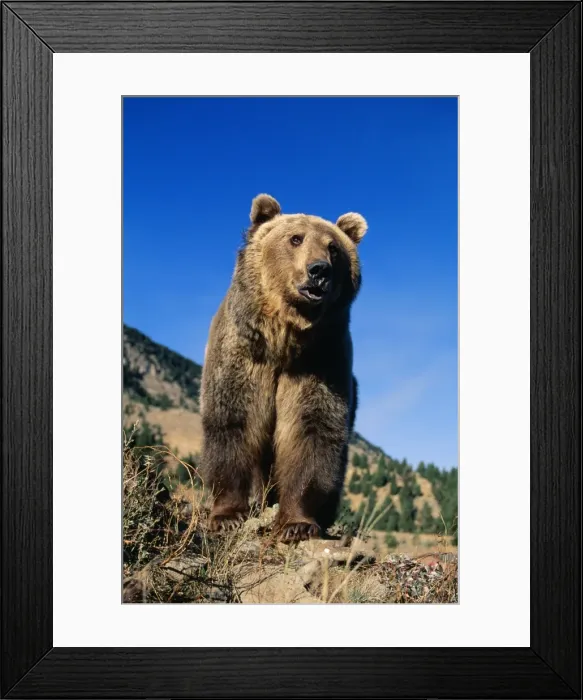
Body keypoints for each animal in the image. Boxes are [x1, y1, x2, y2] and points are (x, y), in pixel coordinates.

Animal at [200, 194, 367, 543]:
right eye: (295, 238)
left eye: (333, 247)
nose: (319, 270)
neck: (284, 339)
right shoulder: (244, 356)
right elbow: (233, 422)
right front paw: (227, 516)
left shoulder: (319, 363)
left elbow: (310, 431)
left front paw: (297, 524)